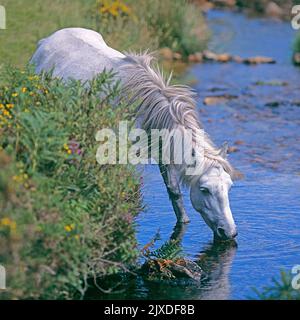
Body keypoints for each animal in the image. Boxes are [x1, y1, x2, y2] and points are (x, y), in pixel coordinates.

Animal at [31, 28, 241, 240]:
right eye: (205, 190)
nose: (229, 232)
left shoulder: (163, 152)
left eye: (229, 186)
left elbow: (174, 191)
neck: (143, 108)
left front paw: (183, 222)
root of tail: (48, 39)